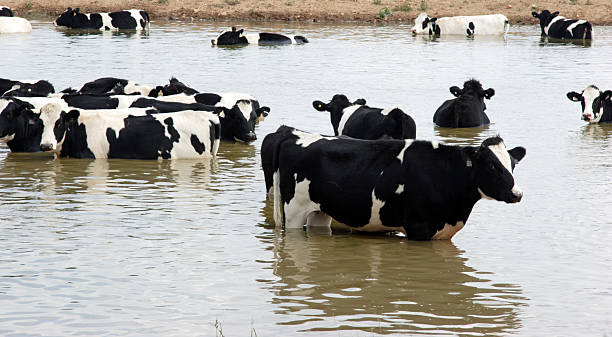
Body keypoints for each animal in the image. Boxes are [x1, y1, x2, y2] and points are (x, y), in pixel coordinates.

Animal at [262, 125, 524, 239]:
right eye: (491, 165)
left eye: (512, 164)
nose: (517, 194)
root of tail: (291, 133)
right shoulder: (419, 229)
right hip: (294, 212)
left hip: (320, 211)